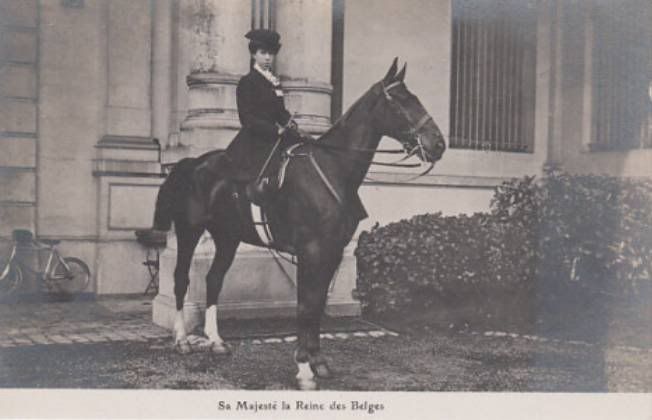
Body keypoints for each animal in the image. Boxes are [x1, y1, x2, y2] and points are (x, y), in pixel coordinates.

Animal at [150, 58, 446, 390]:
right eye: (401, 100)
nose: (438, 144)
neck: (334, 169)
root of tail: (192, 163)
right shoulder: (311, 251)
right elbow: (305, 305)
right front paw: (304, 368)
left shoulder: (332, 252)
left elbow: (316, 305)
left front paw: (318, 362)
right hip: (189, 232)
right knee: (181, 279)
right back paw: (181, 340)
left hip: (228, 237)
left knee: (213, 279)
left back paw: (216, 341)